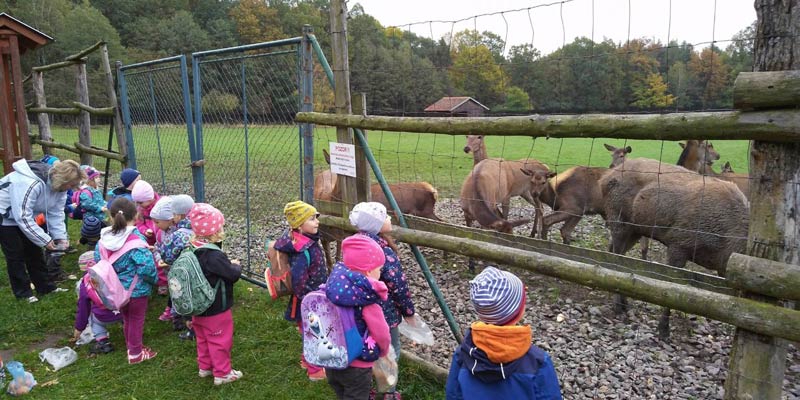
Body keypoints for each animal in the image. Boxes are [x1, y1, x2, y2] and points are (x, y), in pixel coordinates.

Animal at [600, 158, 752, 340]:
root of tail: (604, 178)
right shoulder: (679, 242)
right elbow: (672, 287)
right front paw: (663, 330)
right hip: (619, 220)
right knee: (616, 259)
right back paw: (618, 307)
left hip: (634, 230)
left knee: (614, 255)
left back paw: (623, 302)